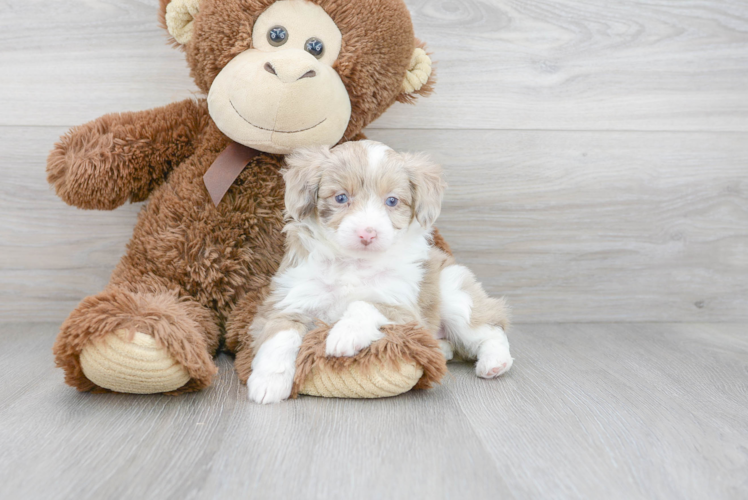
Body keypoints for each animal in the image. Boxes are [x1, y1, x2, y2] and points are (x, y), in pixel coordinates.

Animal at [248, 140, 512, 402]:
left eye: (392, 201)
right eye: (341, 198)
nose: (368, 233)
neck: (354, 263)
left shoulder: (403, 307)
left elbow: (366, 303)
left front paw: (346, 333)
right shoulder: (290, 299)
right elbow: (280, 335)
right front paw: (268, 381)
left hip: (455, 294)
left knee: (491, 328)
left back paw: (495, 361)